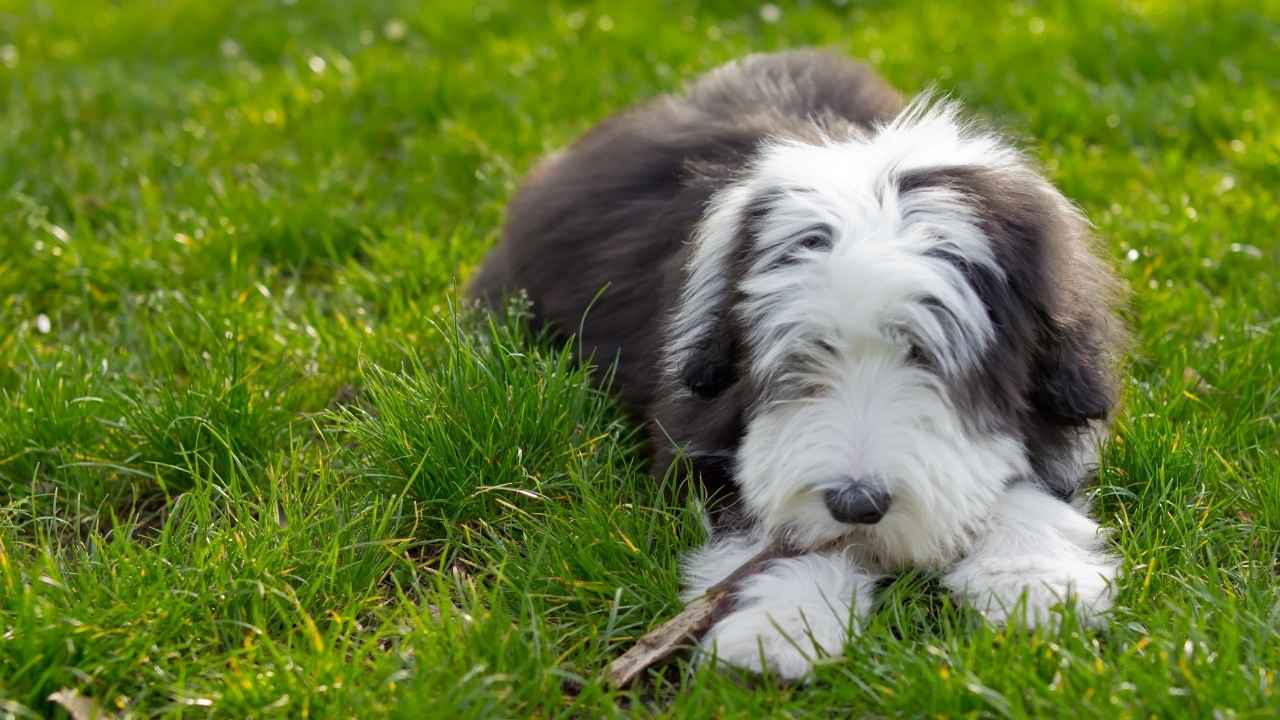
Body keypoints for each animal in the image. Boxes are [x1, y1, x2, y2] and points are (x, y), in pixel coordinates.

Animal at [468, 50, 1121, 676]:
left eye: (924, 353)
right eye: (806, 353)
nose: (856, 505)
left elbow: (1029, 488)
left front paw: (1035, 583)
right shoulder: (701, 433)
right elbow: (773, 527)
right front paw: (776, 629)